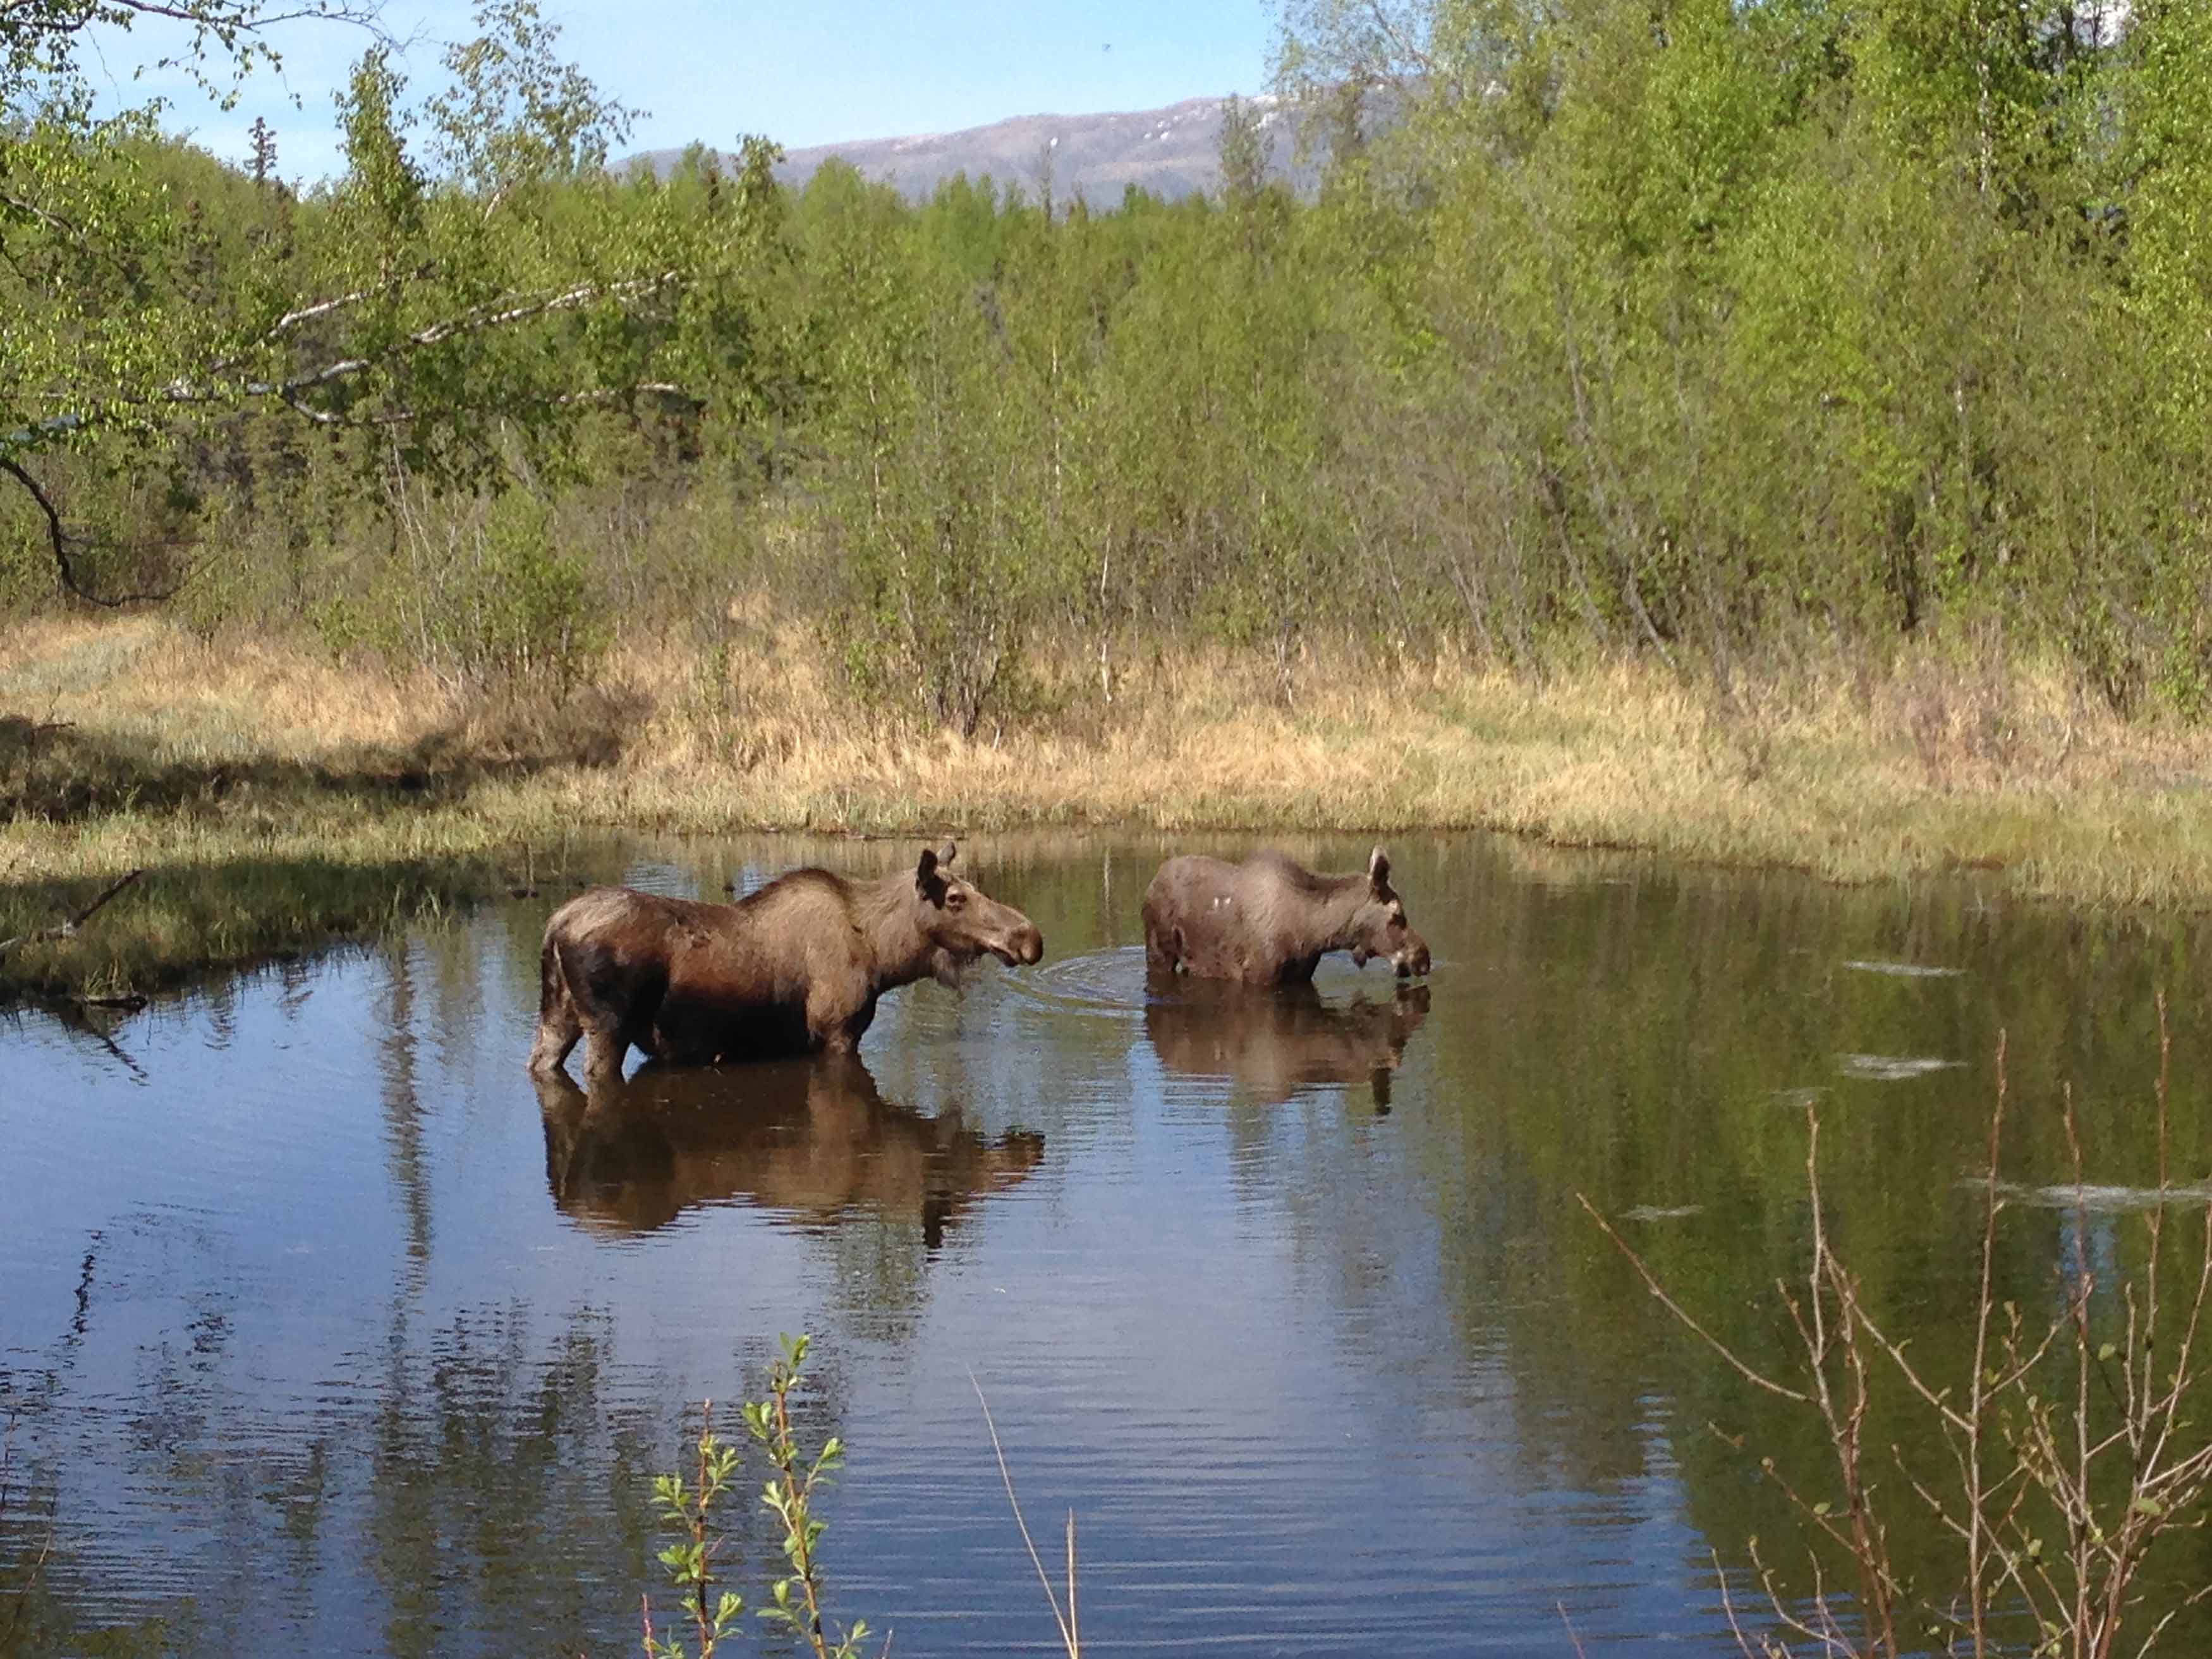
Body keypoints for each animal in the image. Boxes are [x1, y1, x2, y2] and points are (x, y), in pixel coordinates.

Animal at [537, 845, 1053, 1079]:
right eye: (955, 898)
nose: (1030, 936)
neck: (885, 955)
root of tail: (555, 924)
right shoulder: (837, 1033)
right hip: (608, 1025)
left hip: (557, 1015)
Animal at [1141, 849, 1433, 982]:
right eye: (1398, 916)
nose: (1423, 959)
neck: (1313, 932)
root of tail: (1152, 882)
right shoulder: (1258, 976)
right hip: (1158, 953)